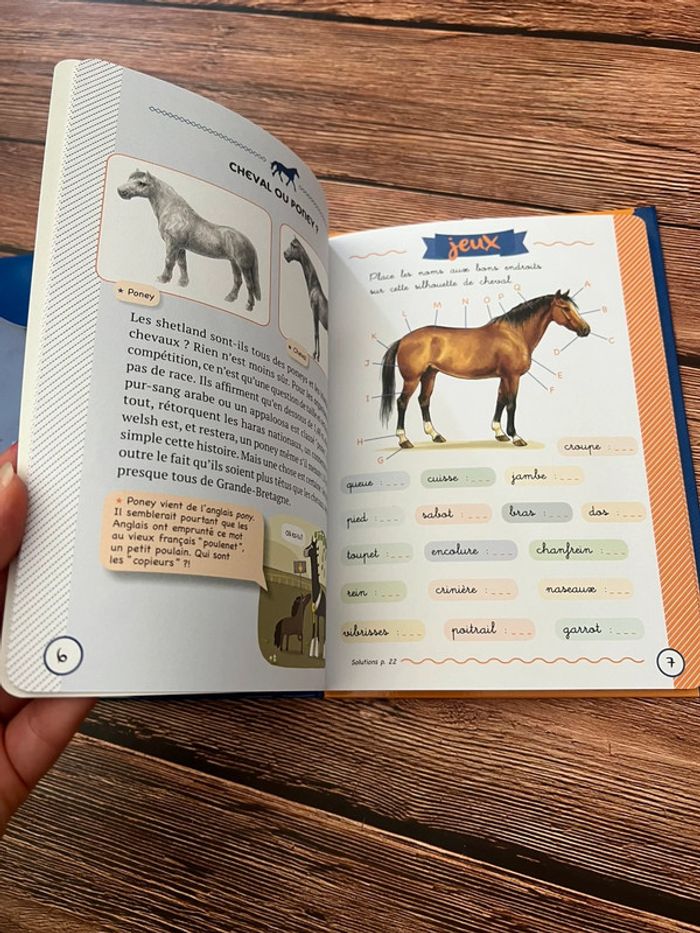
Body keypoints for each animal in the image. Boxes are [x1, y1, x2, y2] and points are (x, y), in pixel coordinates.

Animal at [117, 170, 262, 311]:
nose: (120, 191)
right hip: (234, 263)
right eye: (129, 179)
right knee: (238, 281)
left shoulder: (172, 244)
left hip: (243, 266)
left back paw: (249, 306)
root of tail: (249, 243)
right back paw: (230, 298)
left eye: (142, 183)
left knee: (249, 285)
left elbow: (169, 261)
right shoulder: (180, 247)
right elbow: (182, 264)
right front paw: (182, 283)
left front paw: (163, 279)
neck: (173, 212)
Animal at [380, 290, 590, 449]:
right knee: (402, 402)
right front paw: (516, 437)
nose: (586, 330)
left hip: (429, 375)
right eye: (565, 308)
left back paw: (436, 435)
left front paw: (500, 433)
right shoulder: (513, 376)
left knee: (424, 400)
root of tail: (403, 339)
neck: (514, 334)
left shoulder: (504, 377)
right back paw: (404, 440)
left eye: (574, 307)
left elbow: (501, 400)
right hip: (412, 378)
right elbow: (512, 404)